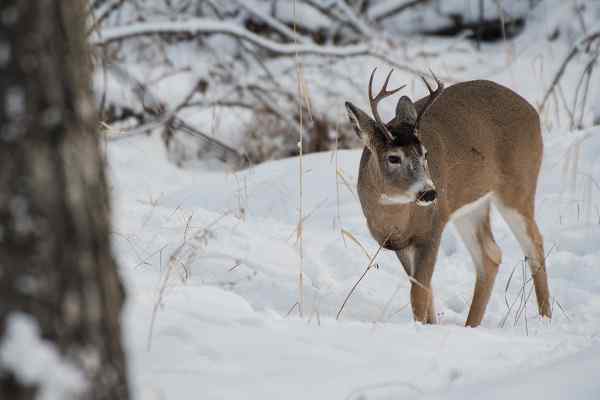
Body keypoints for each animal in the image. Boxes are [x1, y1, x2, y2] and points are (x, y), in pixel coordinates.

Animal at [344, 68, 552, 324]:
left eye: (425, 154)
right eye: (393, 157)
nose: (429, 192)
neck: (394, 218)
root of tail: (533, 111)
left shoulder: (433, 227)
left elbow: (419, 294)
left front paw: (420, 327)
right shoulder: (401, 243)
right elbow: (425, 291)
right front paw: (430, 325)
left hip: (518, 186)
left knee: (534, 244)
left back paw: (545, 318)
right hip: (470, 205)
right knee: (490, 255)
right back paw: (471, 326)